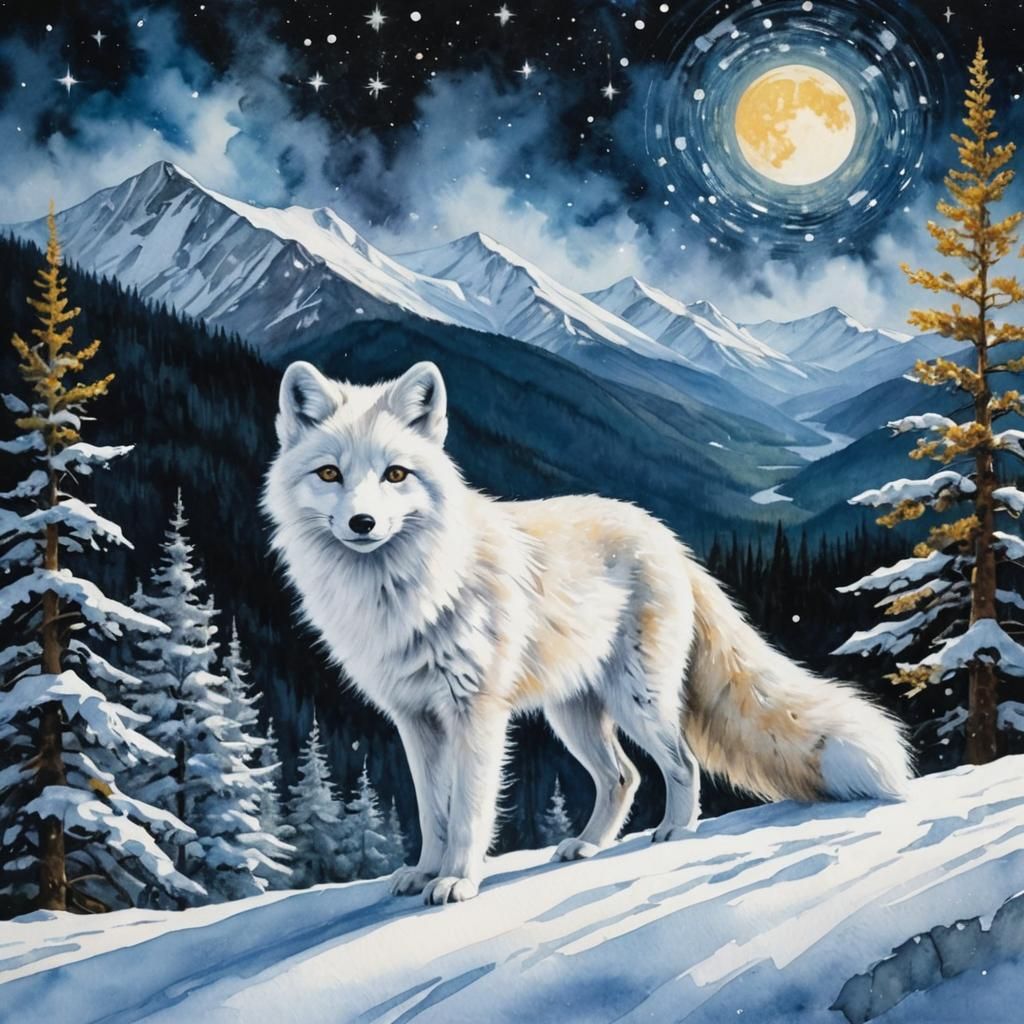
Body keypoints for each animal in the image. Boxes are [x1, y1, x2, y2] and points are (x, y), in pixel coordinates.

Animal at [263, 359, 911, 905]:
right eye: (330, 474)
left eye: (395, 474)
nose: (362, 522)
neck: (403, 596)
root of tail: (668, 539)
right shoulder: (415, 720)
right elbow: (432, 812)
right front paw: (425, 872)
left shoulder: (477, 714)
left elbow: (469, 811)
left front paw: (457, 882)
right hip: (572, 714)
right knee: (624, 776)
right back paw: (588, 846)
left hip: (636, 701)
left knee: (681, 763)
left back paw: (676, 831)